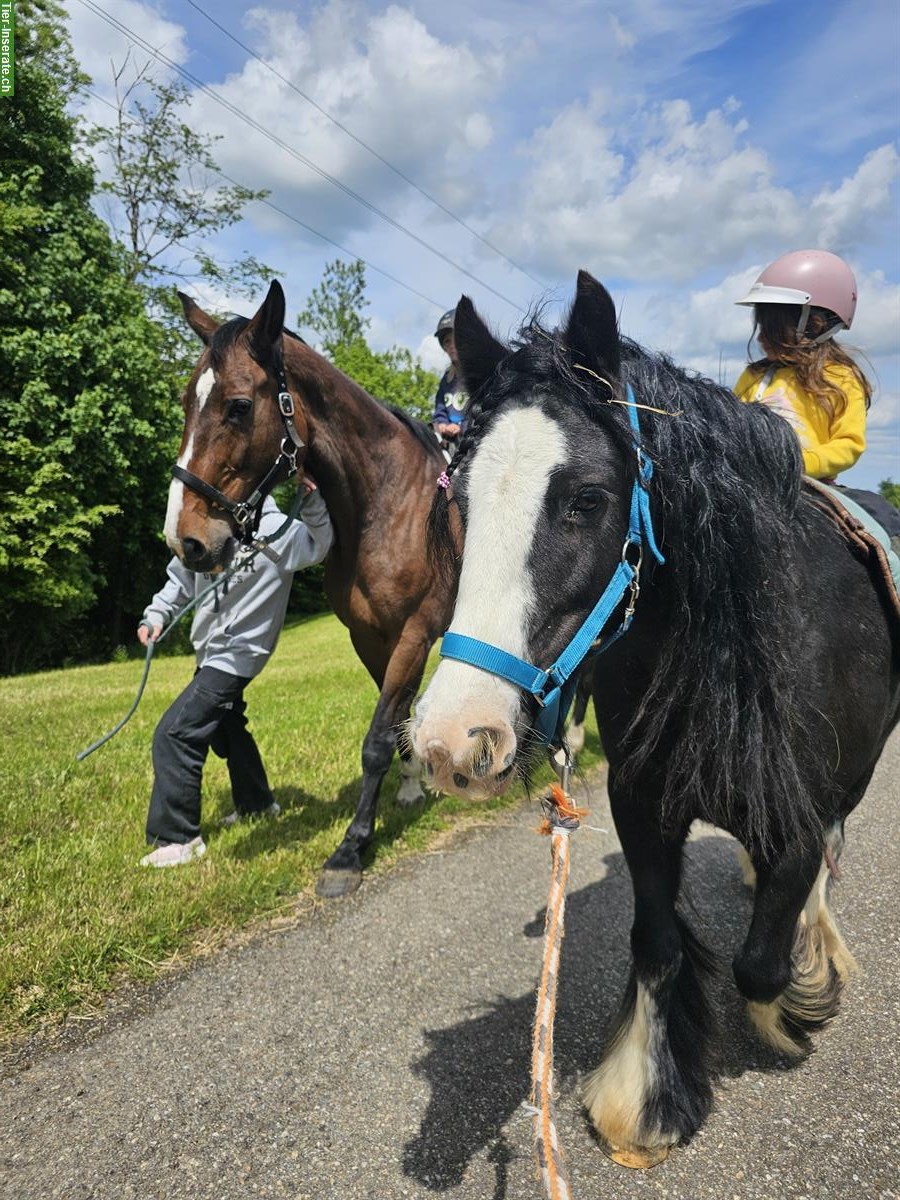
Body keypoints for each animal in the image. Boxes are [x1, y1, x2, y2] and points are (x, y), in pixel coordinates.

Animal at [166, 280, 453, 897]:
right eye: (185, 402)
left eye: (239, 406)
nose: (186, 539)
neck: (387, 500)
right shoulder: (371, 637)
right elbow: (396, 720)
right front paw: (411, 787)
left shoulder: (415, 633)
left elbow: (376, 739)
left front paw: (350, 848)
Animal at [410, 270, 900, 1167]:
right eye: (460, 500)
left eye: (587, 499)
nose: (452, 741)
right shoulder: (642, 805)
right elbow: (659, 943)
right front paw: (645, 1099)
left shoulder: (800, 817)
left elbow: (760, 962)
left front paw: (799, 1008)